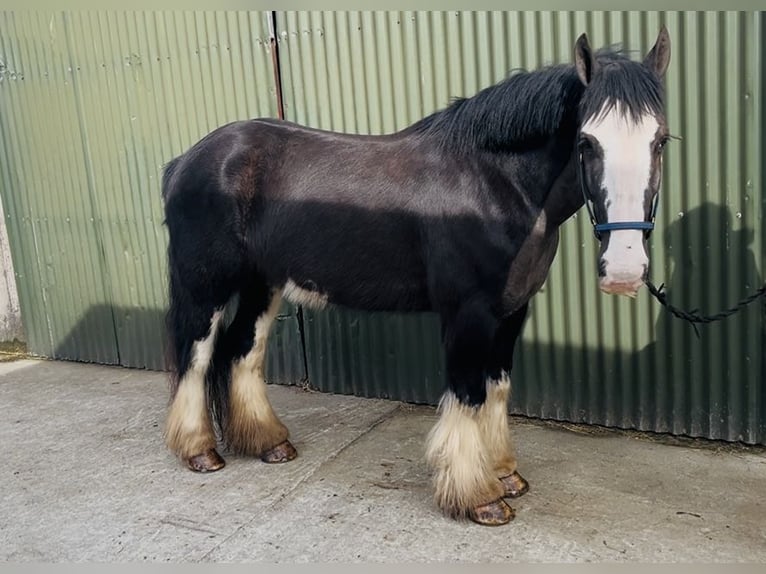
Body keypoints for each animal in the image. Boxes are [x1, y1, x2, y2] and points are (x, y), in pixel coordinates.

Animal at [160, 28, 671, 526]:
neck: (494, 184)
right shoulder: (469, 314)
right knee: (196, 356)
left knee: (241, 352)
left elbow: (497, 388)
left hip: (261, 284)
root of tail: (186, 160)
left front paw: (505, 474)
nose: (625, 268)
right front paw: (478, 496)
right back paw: (200, 451)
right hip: (205, 288)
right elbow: (468, 394)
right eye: (586, 142)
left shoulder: (512, 310)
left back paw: (269, 443)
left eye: (661, 140)